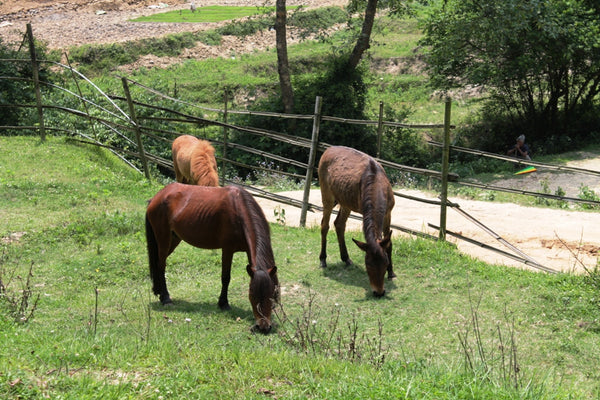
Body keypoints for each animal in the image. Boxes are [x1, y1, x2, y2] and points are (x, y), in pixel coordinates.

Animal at [145, 183, 278, 332]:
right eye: (252, 296)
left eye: (271, 295)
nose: (263, 327)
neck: (239, 210)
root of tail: (157, 197)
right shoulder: (227, 249)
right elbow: (226, 278)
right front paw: (223, 304)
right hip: (164, 239)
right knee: (161, 265)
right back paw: (166, 298)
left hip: (174, 239)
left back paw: (158, 291)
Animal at [316, 146, 396, 296]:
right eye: (367, 263)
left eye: (385, 262)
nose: (379, 292)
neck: (376, 184)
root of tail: (328, 149)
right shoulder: (365, 212)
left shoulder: (388, 212)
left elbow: (389, 243)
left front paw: (392, 273)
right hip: (327, 194)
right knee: (325, 225)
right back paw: (323, 259)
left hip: (345, 202)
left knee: (339, 224)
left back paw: (346, 258)